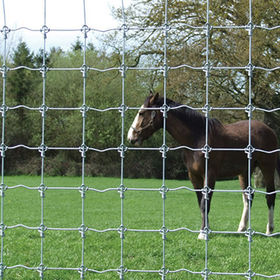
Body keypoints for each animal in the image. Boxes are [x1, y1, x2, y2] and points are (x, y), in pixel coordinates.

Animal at [127, 93, 280, 240]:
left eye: (141, 113)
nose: (131, 137)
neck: (197, 139)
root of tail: (269, 130)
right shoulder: (194, 176)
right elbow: (200, 202)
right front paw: (206, 229)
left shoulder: (210, 175)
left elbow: (205, 203)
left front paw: (203, 233)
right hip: (244, 172)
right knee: (248, 197)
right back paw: (242, 228)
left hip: (267, 166)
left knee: (270, 195)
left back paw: (269, 230)